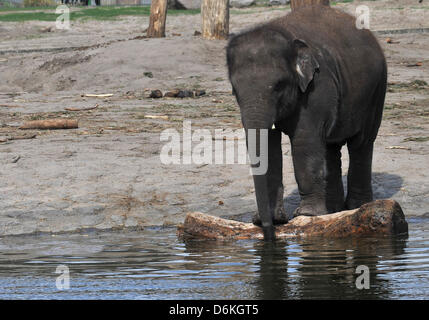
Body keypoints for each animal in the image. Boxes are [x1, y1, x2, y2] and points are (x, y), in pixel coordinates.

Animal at [227, 5, 388, 241]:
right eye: (234, 90)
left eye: (279, 85)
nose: (268, 234)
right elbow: (269, 146)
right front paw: (274, 219)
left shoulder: (317, 86)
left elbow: (305, 141)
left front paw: (307, 215)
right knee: (331, 148)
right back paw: (334, 211)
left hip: (376, 91)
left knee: (362, 143)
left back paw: (357, 207)